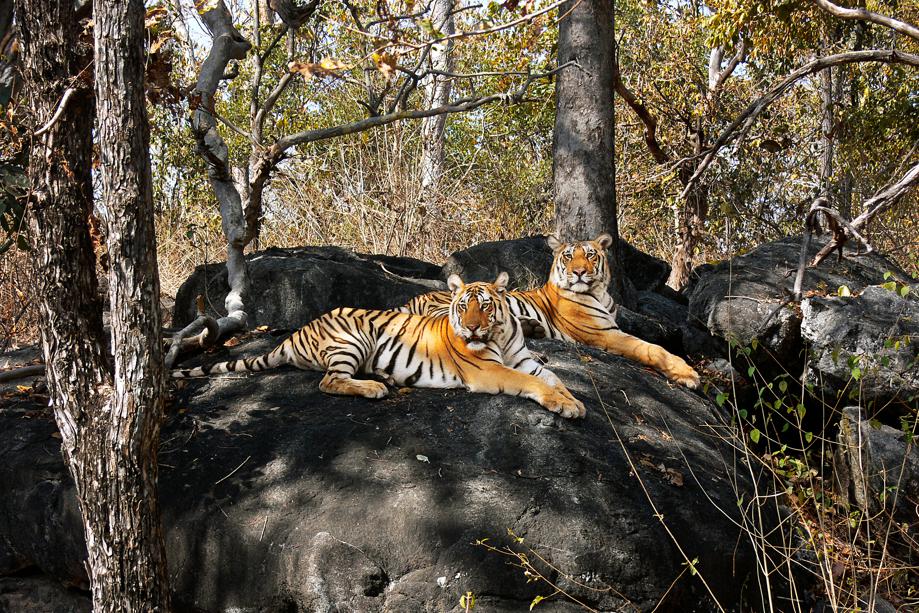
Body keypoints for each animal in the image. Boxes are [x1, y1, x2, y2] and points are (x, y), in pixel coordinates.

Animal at [173, 272, 586, 418]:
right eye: (462, 307)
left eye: (484, 307)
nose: (470, 329)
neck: (498, 334)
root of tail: (293, 333)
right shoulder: (487, 370)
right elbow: (530, 383)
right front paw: (566, 406)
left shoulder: (526, 359)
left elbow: (554, 378)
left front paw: (573, 402)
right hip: (352, 338)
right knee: (328, 382)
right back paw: (374, 388)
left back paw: (383, 380)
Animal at [400, 234, 701, 389]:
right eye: (568, 256)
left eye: (590, 255)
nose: (578, 272)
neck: (600, 292)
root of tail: (417, 296)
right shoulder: (605, 333)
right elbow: (651, 348)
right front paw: (687, 374)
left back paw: (532, 331)